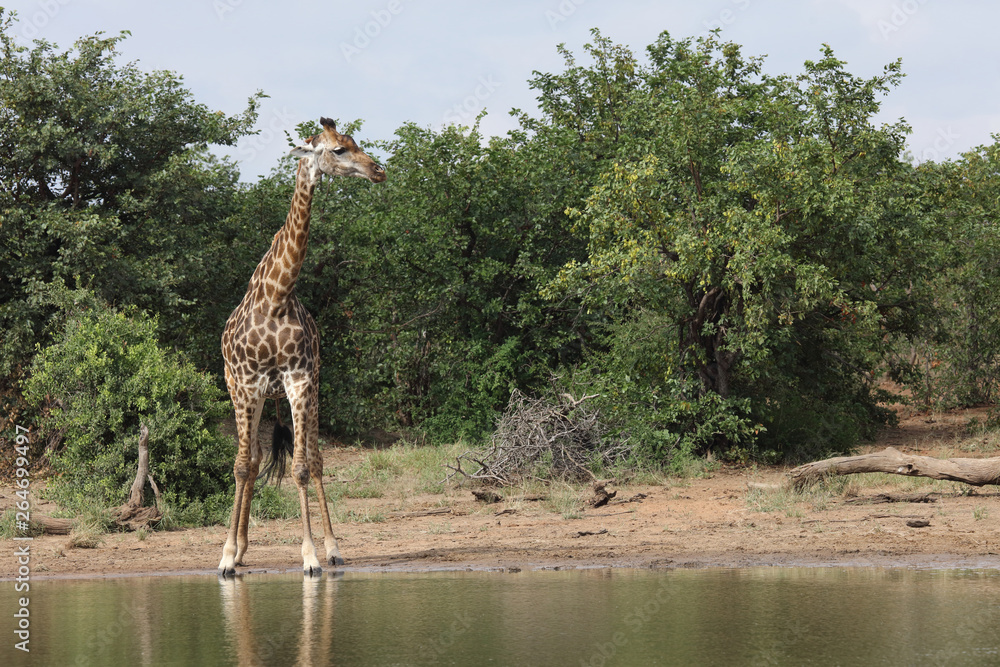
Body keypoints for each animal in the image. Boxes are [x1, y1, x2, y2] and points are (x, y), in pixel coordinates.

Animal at [219, 117, 386, 577]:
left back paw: (332, 549)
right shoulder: (247, 385)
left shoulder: (299, 381)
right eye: (338, 150)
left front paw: (311, 555)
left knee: (316, 459)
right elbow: (242, 466)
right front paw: (226, 556)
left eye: (355, 142)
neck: (276, 296)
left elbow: (302, 468)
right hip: (245, 393)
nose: (378, 171)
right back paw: (240, 549)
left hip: (311, 391)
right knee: (253, 461)